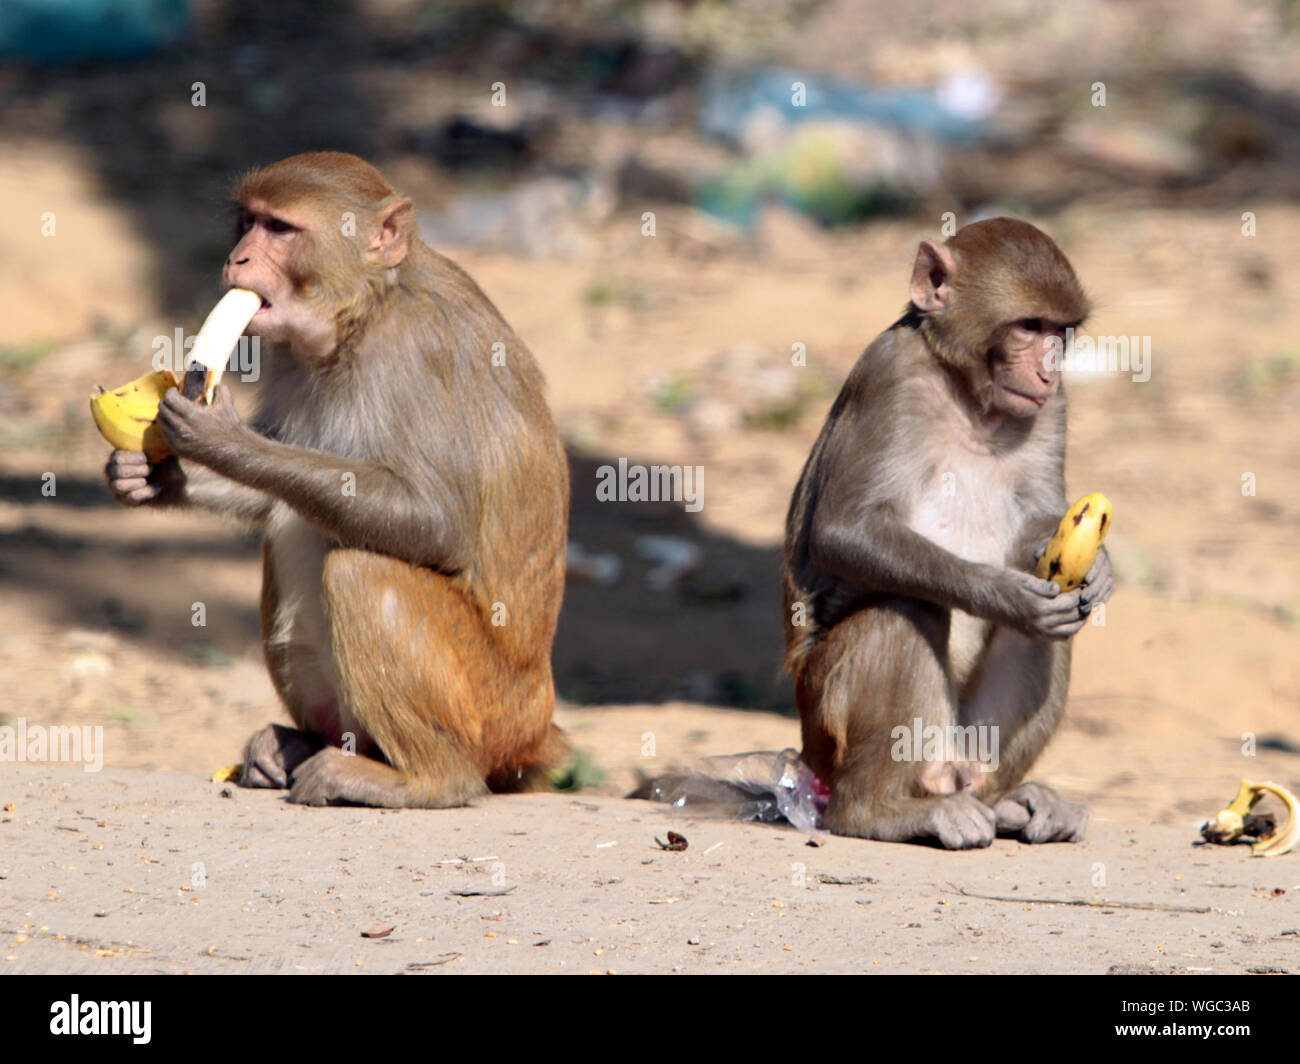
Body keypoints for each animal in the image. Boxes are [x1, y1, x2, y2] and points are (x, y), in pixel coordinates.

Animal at [105, 151, 570, 808]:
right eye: (247, 221)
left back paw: (427, 779)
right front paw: (149, 474)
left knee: (359, 568)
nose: (236, 260)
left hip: (491, 708)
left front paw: (222, 439)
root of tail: (536, 729)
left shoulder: (414, 351)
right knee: (291, 529)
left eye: (280, 229)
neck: (362, 314)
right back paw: (298, 745)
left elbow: (439, 524)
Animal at [782, 217, 1115, 849]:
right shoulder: (889, 374)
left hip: (965, 739)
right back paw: (876, 812)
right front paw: (1005, 595)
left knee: (1057, 634)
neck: (968, 395)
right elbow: (842, 532)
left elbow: (1041, 515)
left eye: (1060, 332)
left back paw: (1004, 799)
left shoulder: (1053, 406)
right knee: (906, 606)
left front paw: (1100, 564)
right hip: (826, 725)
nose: (1049, 369)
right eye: (1028, 326)